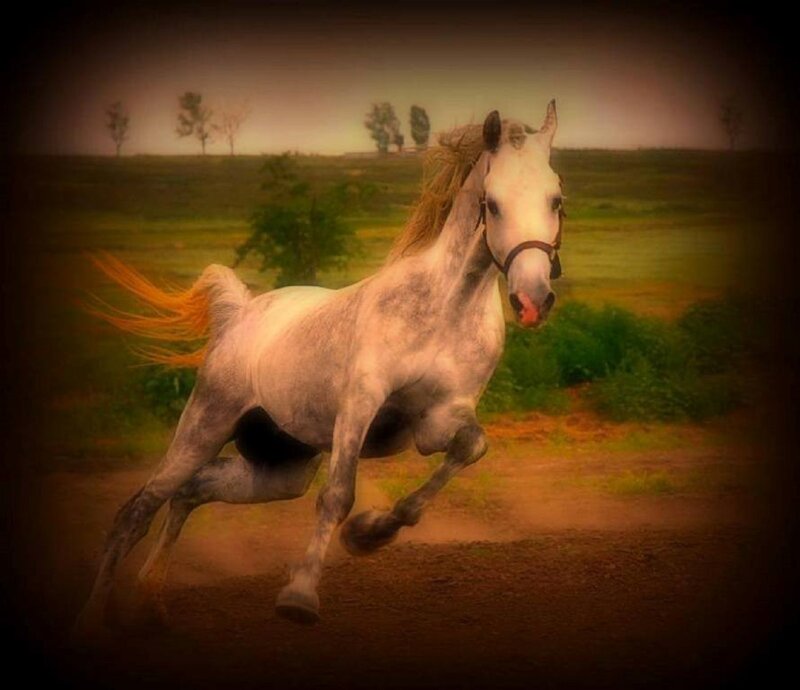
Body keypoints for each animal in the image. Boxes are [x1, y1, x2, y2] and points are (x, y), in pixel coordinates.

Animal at [73, 101, 565, 635]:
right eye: (492, 204)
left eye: (557, 199)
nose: (533, 300)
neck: (444, 309)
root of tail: (242, 312)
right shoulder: (360, 404)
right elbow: (337, 496)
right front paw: (300, 597)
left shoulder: (439, 418)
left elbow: (469, 447)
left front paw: (370, 534)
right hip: (204, 425)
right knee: (137, 510)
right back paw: (95, 616)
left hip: (280, 468)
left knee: (192, 490)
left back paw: (151, 604)